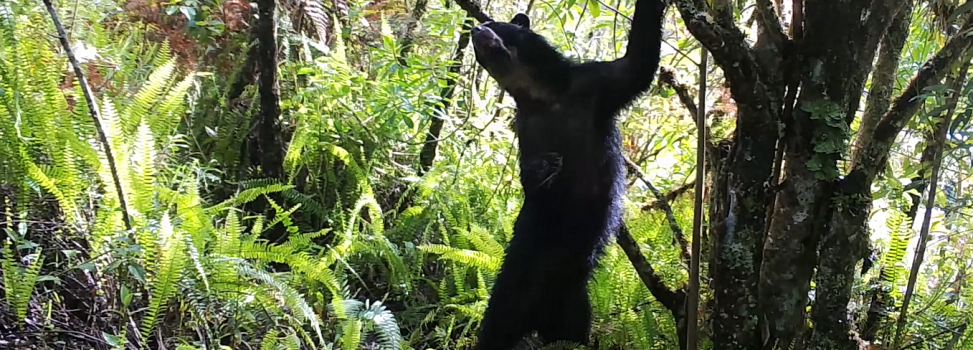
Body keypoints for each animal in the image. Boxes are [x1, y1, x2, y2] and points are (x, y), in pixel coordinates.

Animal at [470, 0, 668, 350]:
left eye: (496, 24)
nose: (474, 29)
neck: (543, 96)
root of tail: (537, 316)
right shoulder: (527, 130)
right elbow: (531, 180)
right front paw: (543, 170)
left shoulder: (597, 86)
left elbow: (638, 62)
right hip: (508, 296)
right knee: (494, 331)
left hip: (575, 309)